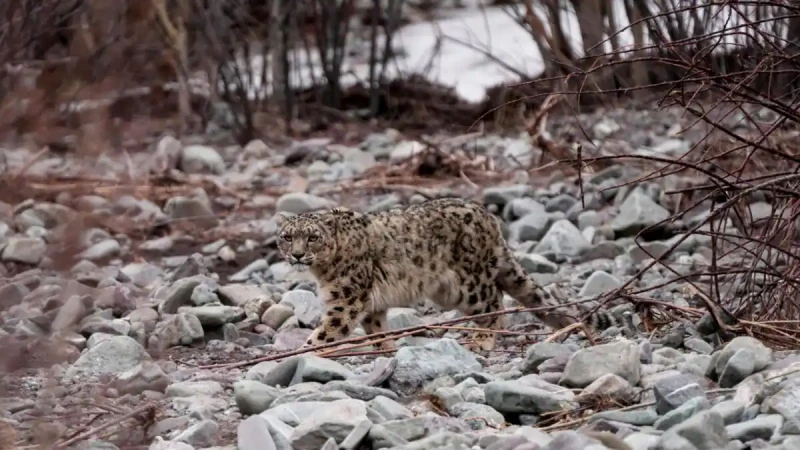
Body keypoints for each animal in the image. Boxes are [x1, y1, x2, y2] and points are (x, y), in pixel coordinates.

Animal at [275, 197, 631, 353]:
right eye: (287, 237)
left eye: (312, 237)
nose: (297, 254)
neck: (322, 272)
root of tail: (489, 218)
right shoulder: (369, 303)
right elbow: (376, 327)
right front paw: (384, 351)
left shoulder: (346, 299)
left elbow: (326, 331)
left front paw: (298, 354)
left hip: (468, 284)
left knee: (494, 305)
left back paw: (482, 340)